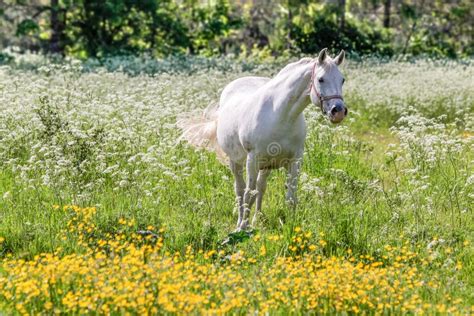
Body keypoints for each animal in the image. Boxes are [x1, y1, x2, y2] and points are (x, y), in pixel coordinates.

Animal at [180, 48, 346, 231]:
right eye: (320, 79)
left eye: (342, 79)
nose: (338, 111)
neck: (280, 115)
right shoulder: (252, 159)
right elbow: (248, 193)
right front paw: (242, 227)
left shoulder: (295, 160)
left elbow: (290, 197)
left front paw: (292, 227)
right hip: (236, 161)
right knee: (240, 189)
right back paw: (240, 221)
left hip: (266, 166)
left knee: (261, 187)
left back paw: (257, 218)